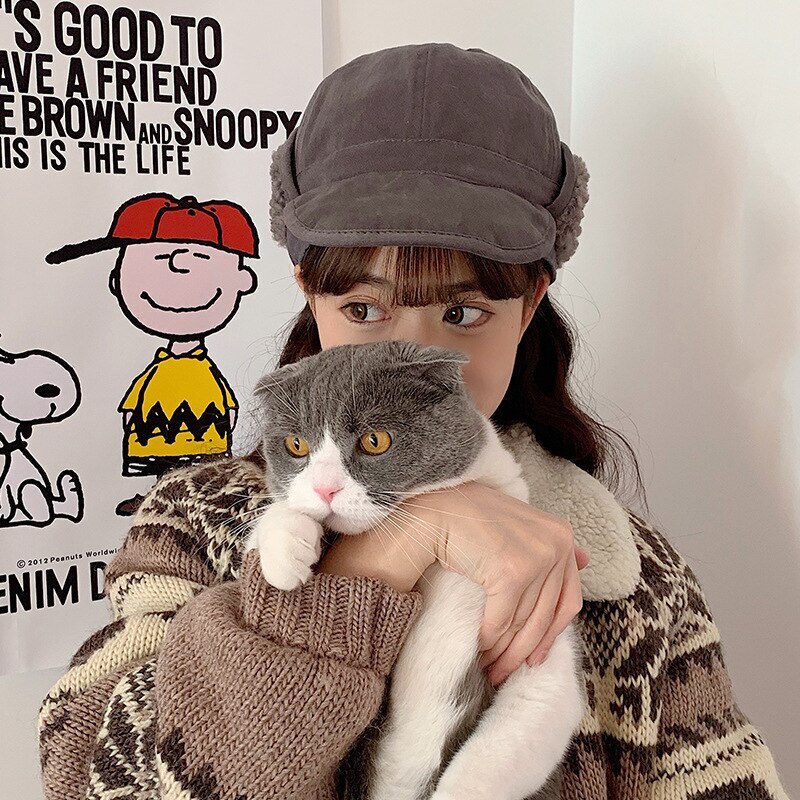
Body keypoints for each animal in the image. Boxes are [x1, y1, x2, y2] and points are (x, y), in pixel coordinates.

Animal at [244, 339, 587, 800]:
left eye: (375, 440)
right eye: (296, 445)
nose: (324, 489)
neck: (440, 571)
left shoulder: (542, 645)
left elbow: (499, 749)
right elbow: (270, 525)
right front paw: (285, 554)